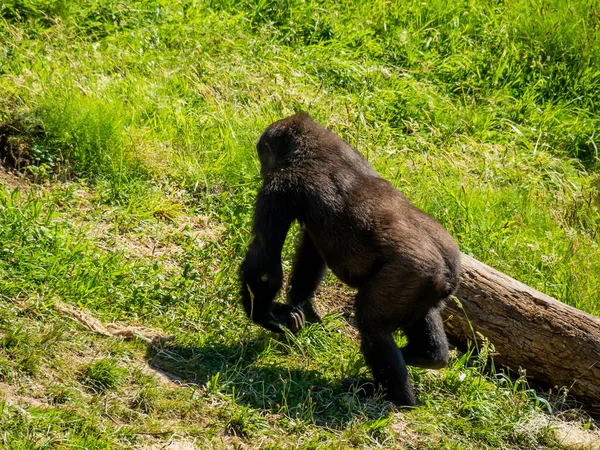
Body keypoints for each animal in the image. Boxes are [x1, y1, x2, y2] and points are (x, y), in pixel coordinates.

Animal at [239, 113, 460, 408]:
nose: (261, 170)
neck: (314, 145)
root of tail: (449, 270)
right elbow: (311, 251)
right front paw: (300, 305)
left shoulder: (280, 187)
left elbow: (264, 262)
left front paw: (265, 316)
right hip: (433, 284)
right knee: (423, 315)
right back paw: (427, 356)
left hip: (412, 273)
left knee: (372, 327)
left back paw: (392, 396)